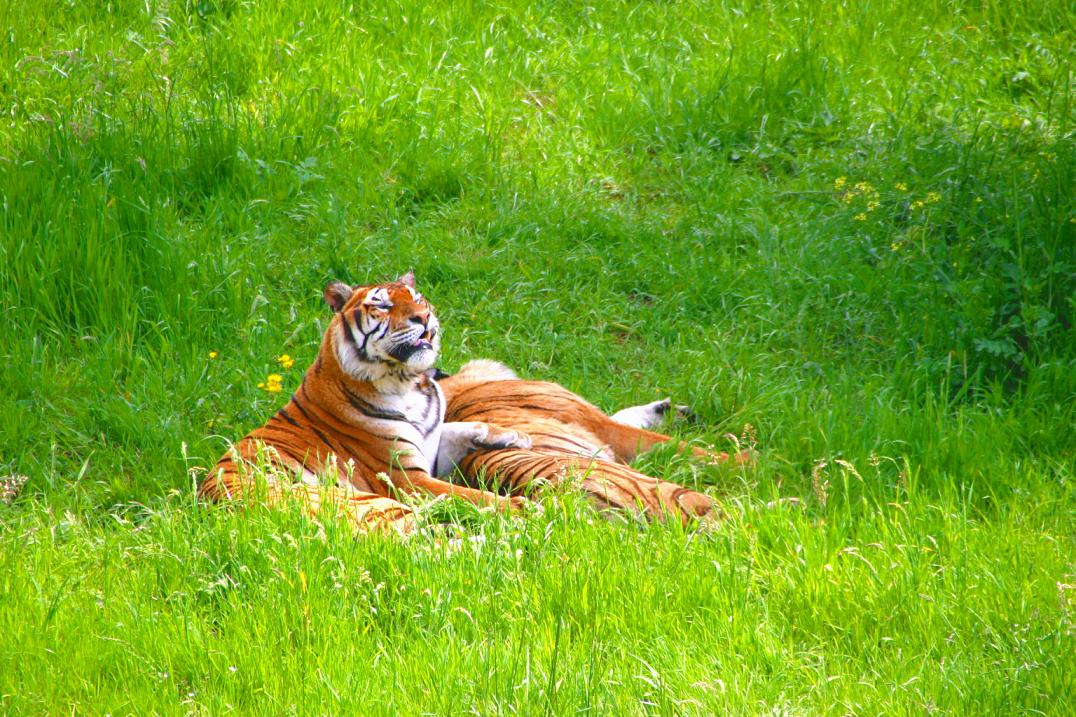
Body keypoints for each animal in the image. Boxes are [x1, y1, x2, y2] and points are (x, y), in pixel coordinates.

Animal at [199, 271, 533, 533]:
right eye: (383, 305)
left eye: (418, 298)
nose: (424, 317)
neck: (408, 383)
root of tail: (216, 509)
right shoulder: (407, 479)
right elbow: (468, 494)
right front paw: (516, 505)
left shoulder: (431, 448)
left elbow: (457, 426)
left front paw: (515, 436)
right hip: (363, 500)